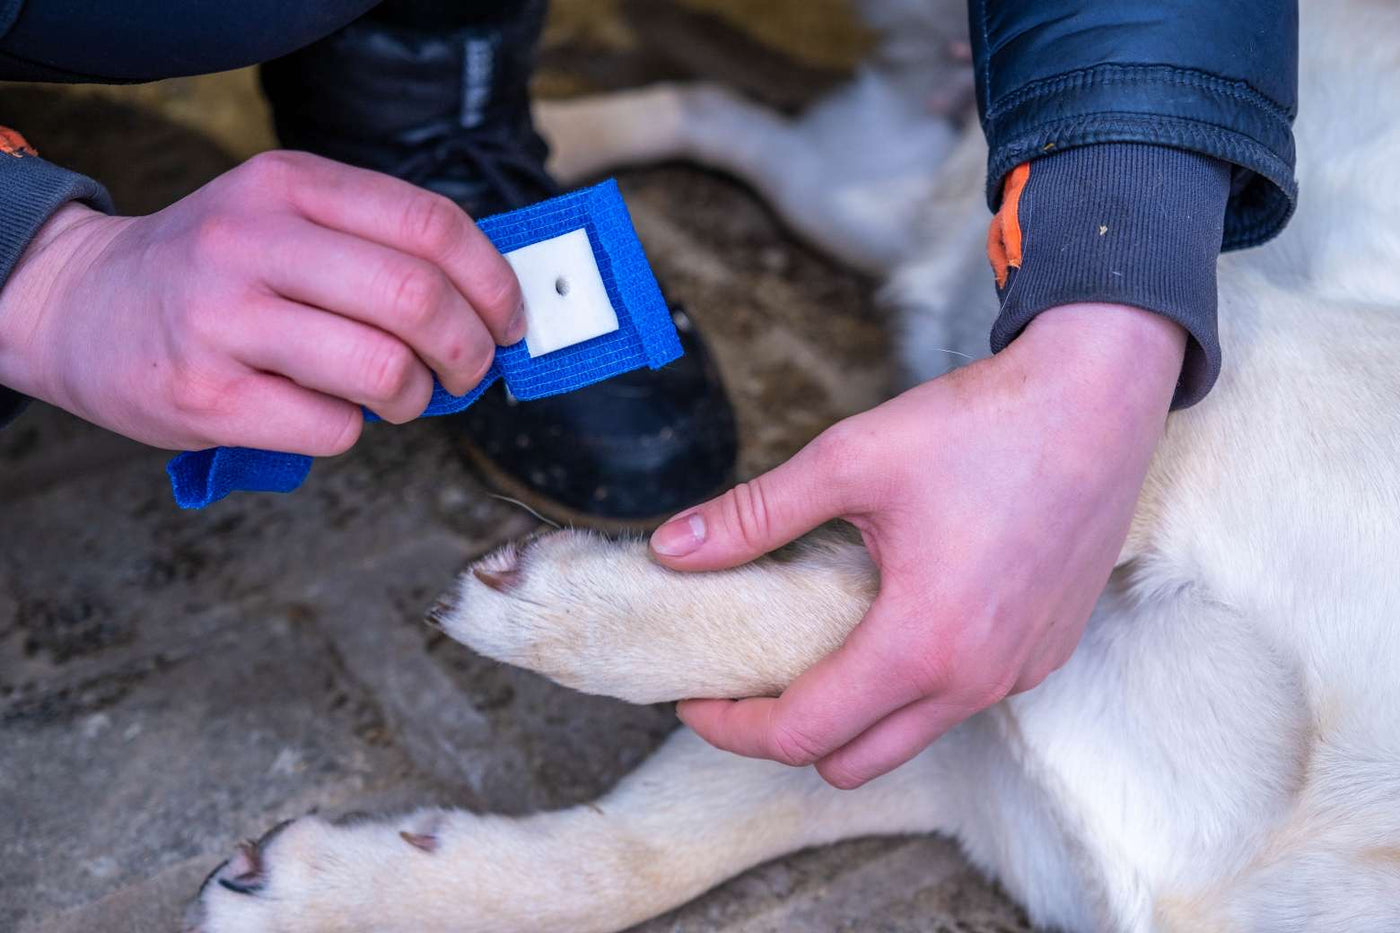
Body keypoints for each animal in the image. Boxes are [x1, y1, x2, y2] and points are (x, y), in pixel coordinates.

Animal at [194, 3, 1400, 924]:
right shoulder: (1231, 366)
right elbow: (862, 598)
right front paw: (580, 614)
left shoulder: (968, 765)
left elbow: (640, 852)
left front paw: (349, 892)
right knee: (709, 107)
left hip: (859, 201)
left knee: (716, 113)